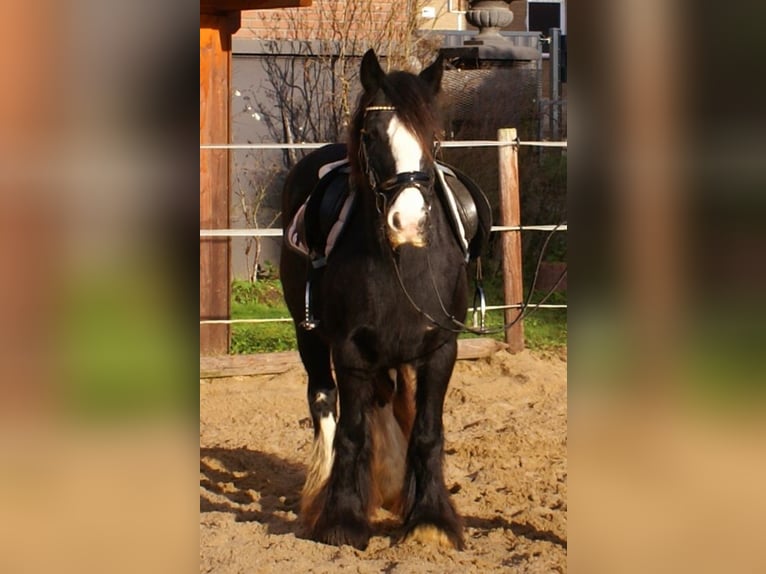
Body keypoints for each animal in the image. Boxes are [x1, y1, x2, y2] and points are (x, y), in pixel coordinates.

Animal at [282, 50, 486, 552]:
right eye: (372, 136)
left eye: (433, 138)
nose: (408, 221)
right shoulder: (349, 350)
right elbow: (351, 432)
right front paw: (342, 519)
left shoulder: (439, 349)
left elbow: (427, 431)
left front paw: (430, 519)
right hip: (308, 337)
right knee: (324, 401)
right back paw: (324, 494)